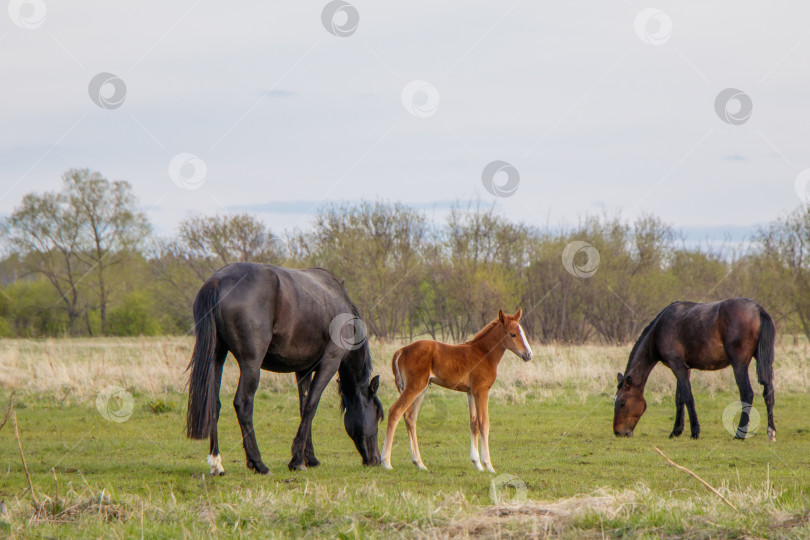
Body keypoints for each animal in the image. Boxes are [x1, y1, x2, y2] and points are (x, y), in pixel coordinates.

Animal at [186, 264, 382, 474]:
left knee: (213, 404)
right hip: (251, 364)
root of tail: (218, 280)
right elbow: (312, 405)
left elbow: (304, 406)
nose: (376, 460)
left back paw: (217, 463)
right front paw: (296, 461)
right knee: (243, 404)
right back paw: (259, 464)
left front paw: (309, 458)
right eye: (378, 415)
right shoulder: (330, 362)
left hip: (216, 356)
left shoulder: (303, 370)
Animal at [382, 308, 532, 472]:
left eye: (522, 332)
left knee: (410, 418)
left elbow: (474, 424)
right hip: (414, 387)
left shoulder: (471, 393)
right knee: (395, 412)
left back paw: (419, 463)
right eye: (513, 334)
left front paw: (477, 464)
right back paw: (386, 462)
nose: (529, 354)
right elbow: (484, 423)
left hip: (422, 389)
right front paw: (488, 465)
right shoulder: (481, 391)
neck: (483, 353)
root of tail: (402, 350)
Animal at [612, 298, 776, 440]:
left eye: (622, 403)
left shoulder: (677, 366)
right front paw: (676, 431)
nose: (618, 432)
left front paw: (695, 431)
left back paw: (739, 435)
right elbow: (679, 399)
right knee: (768, 394)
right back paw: (771, 432)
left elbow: (688, 398)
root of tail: (758, 310)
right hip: (765, 363)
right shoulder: (685, 369)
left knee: (747, 394)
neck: (659, 330)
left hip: (739, 365)